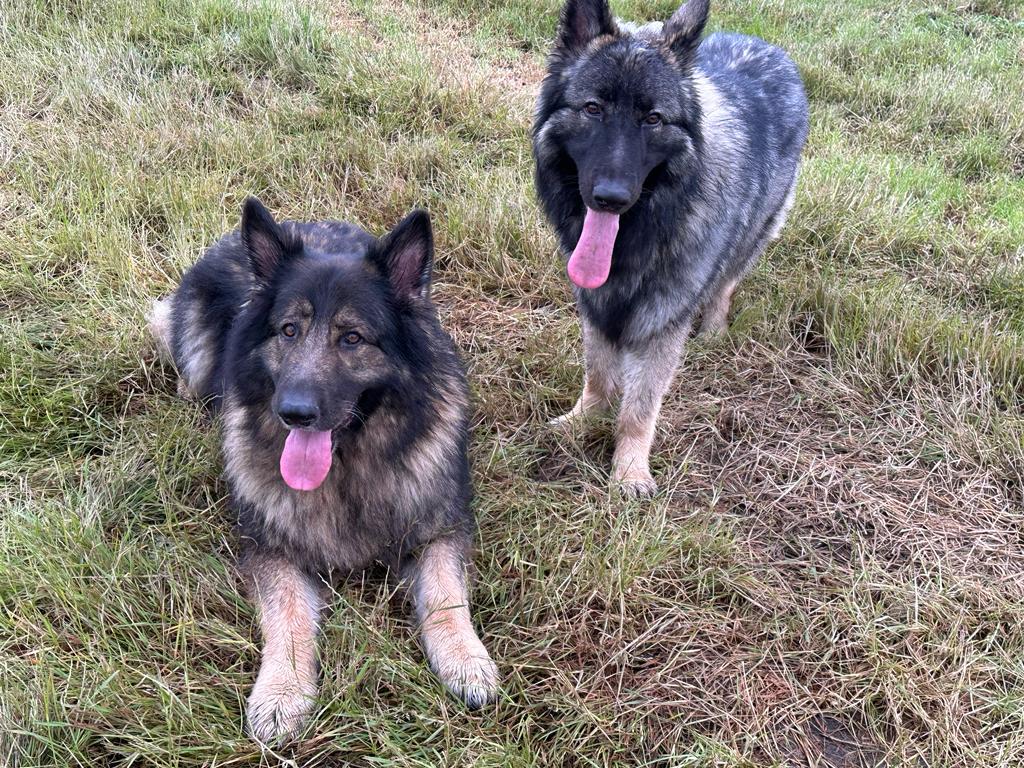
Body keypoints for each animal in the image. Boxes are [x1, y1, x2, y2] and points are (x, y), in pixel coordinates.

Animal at [147, 198, 495, 745]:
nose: (293, 412)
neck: (347, 468)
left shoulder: (440, 528)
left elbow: (445, 594)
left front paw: (464, 659)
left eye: (352, 338)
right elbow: (287, 613)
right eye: (289, 330)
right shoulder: (271, 549)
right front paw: (282, 692)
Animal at [536, 0, 806, 495]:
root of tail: (767, 47)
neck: (643, 229)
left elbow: (640, 409)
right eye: (592, 109)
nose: (610, 198)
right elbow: (599, 375)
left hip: (753, 235)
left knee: (726, 283)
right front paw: (582, 421)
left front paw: (629, 471)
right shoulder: (596, 304)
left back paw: (715, 328)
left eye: (653, 119)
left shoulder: (662, 322)